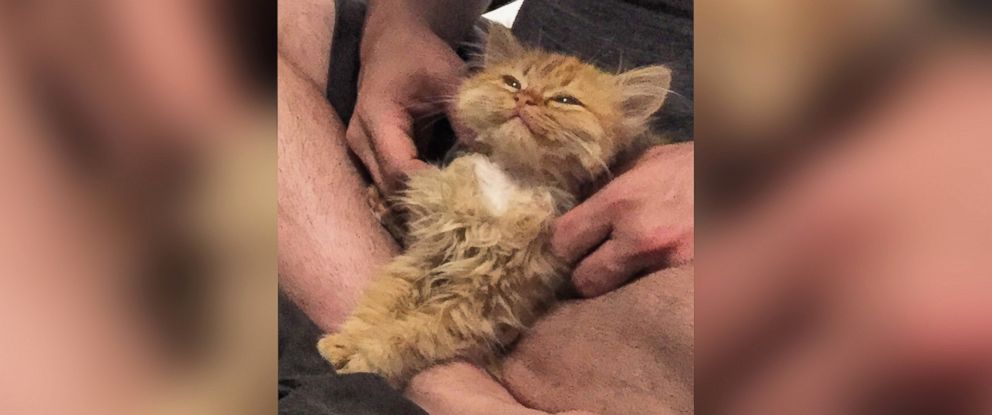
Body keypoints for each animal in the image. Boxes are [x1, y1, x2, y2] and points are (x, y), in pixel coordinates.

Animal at [318, 25, 676, 390]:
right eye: (513, 82)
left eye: (565, 100)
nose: (525, 98)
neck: (511, 181)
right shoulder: (425, 257)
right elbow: (380, 305)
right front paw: (343, 344)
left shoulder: (480, 304)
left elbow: (406, 335)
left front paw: (366, 358)